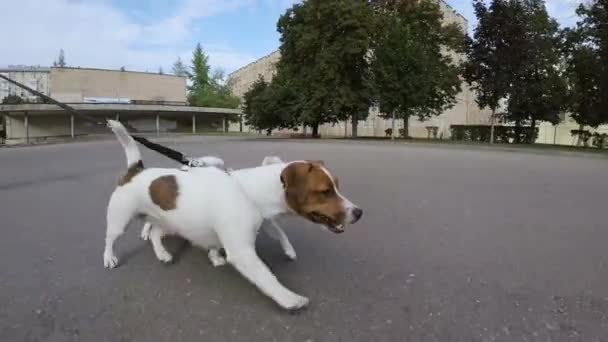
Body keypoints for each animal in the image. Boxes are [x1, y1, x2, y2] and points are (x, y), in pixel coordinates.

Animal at [104, 120, 360, 310]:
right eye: (325, 191)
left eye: (336, 186)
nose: (359, 212)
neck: (247, 189)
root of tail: (136, 170)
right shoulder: (243, 252)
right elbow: (267, 277)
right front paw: (290, 299)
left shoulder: (261, 222)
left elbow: (278, 233)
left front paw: (287, 250)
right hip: (119, 219)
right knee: (111, 239)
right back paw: (110, 258)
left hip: (165, 220)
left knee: (155, 232)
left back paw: (163, 254)